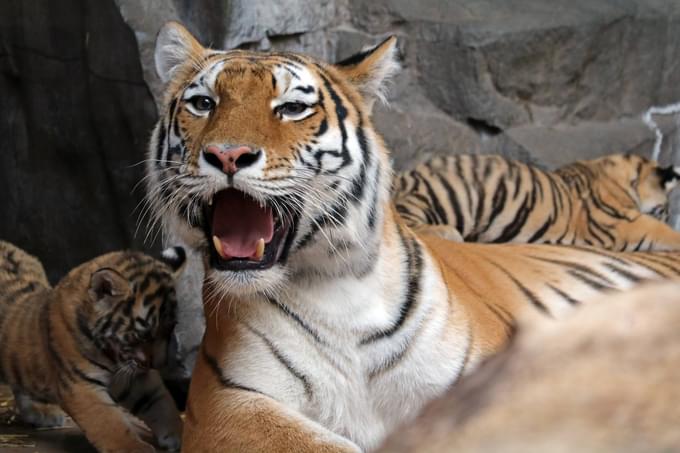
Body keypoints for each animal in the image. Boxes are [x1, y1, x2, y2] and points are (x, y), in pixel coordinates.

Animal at [0, 242, 185, 450]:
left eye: (171, 328)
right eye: (143, 334)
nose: (159, 365)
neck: (112, 353)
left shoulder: (135, 379)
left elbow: (162, 405)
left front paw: (184, 435)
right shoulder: (82, 385)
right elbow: (111, 424)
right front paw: (136, 448)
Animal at [390, 154, 680, 249]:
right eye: (665, 211)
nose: (667, 213)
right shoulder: (620, 222)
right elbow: (664, 233)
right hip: (447, 194)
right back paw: (448, 233)